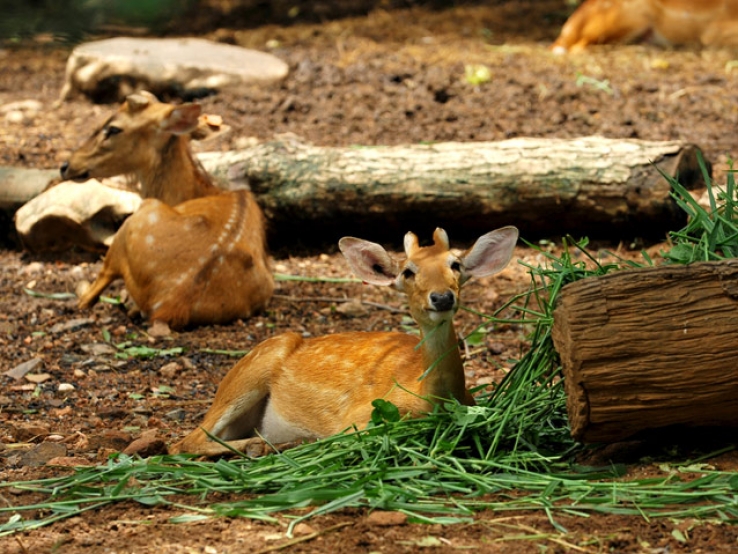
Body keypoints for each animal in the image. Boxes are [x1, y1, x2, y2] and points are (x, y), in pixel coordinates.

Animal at [168, 222, 516, 454]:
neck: (430, 396)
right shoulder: (355, 417)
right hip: (252, 368)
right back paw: (263, 445)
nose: (442, 297)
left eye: (455, 264)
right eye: (408, 271)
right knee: (184, 443)